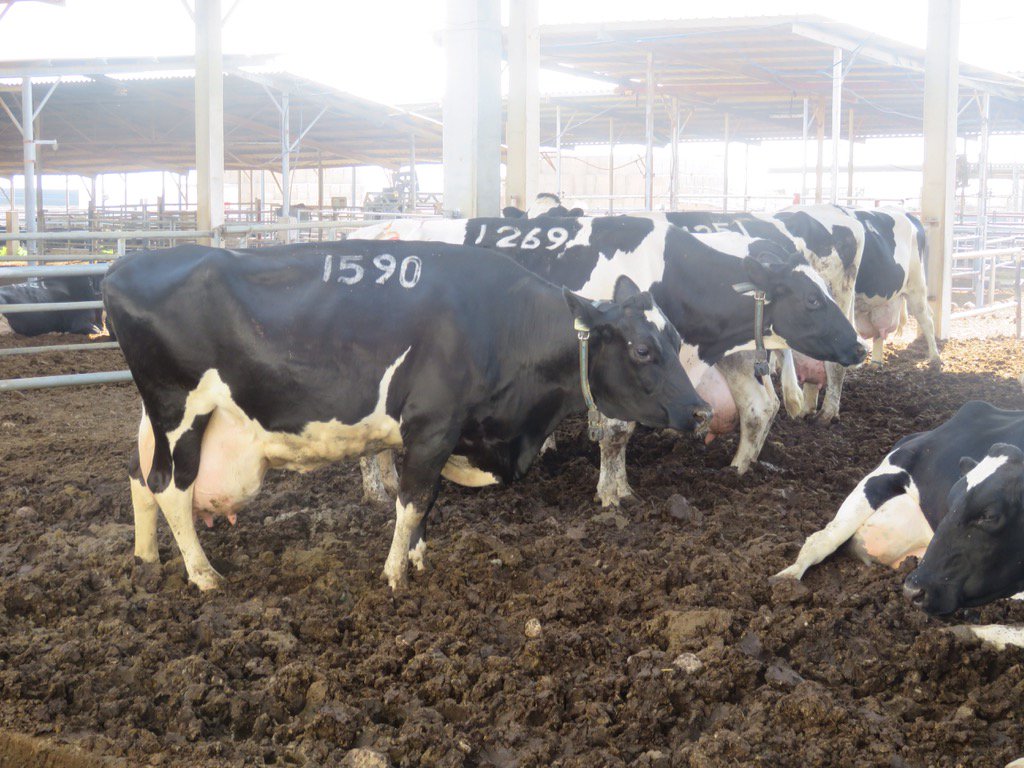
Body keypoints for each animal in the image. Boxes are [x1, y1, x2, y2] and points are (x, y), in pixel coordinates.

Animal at [103, 241, 711, 592]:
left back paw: (146, 559)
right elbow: (413, 499)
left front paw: (418, 558)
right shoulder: (433, 426)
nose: (702, 411)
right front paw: (395, 574)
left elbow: (428, 501)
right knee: (170, 485)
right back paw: (204, 575)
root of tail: (125, 263)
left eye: (676, 338)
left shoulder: (443, 435)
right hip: (178, 409)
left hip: (161, 417)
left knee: (139, 477)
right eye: (641, 349)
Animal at [349, 214, 866, 504]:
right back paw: (378, 492)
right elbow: (616, 432)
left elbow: (757, 409)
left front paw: (737, 472)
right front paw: (613, 494)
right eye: (812, 301)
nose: (859, 347)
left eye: (825, 292)